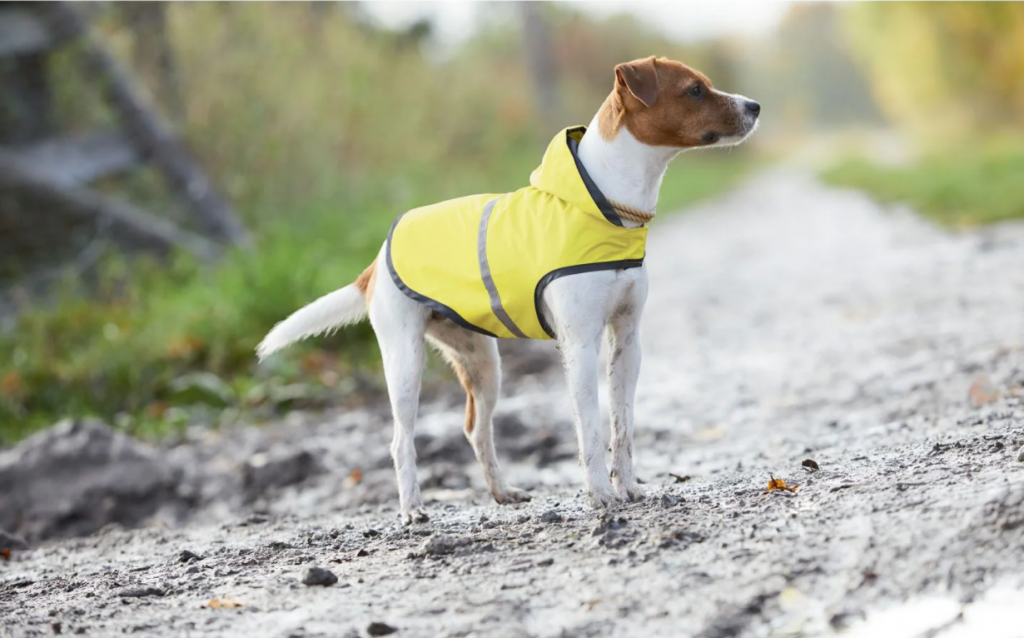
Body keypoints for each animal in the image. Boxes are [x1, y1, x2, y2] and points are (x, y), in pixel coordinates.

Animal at [258, 56, 761, 524]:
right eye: (694, 90)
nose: (755, 106)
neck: (607, 205)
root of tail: (376, 262)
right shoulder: (580, 345)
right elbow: (591, 429)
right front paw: (600, 494)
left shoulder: (627, 341)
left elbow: (623, 426)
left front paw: (629, 487)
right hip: (405, 361)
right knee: (402, 440)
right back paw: (412, 508)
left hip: (483, 364)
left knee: (477, 430)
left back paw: (502, 491)